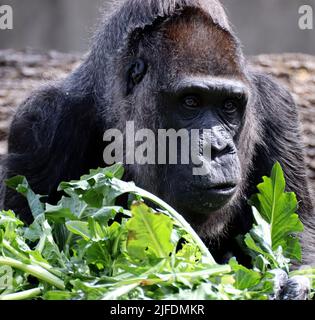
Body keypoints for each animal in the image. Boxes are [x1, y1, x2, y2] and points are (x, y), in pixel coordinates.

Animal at [0, 0, 315, 298]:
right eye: (190, 102)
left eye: (229, 105)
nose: (218, 148)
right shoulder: (41, 122)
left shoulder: (278, 107)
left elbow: (301, 233)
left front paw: (291, 283)